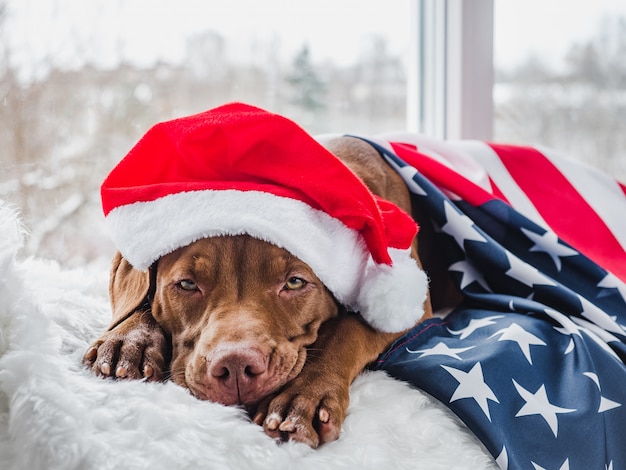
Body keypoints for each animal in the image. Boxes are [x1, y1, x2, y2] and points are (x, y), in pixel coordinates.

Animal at [84, 136, 434, 448]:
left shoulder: (412, 307)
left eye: (294, 283)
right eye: (187, 284)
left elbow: (346, 331)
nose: (237, 367)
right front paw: (129, 340)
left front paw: (302, 397)